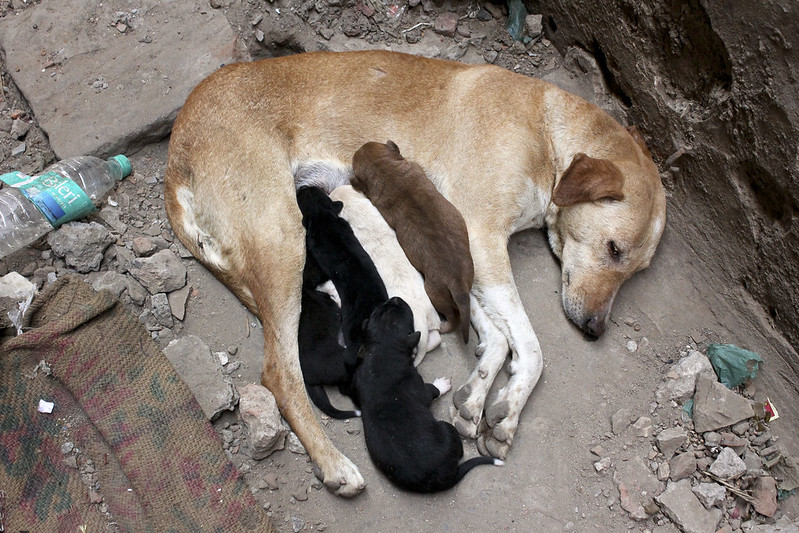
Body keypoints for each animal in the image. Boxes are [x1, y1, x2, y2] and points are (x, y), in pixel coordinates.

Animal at [354, 296, 504, 490]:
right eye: (402, 312)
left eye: (381, 309)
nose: (395, 299)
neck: (382, 349)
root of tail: (446, 477)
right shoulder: (420, 388)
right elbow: (432, 390)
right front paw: (442, 384)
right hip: (448, 430)